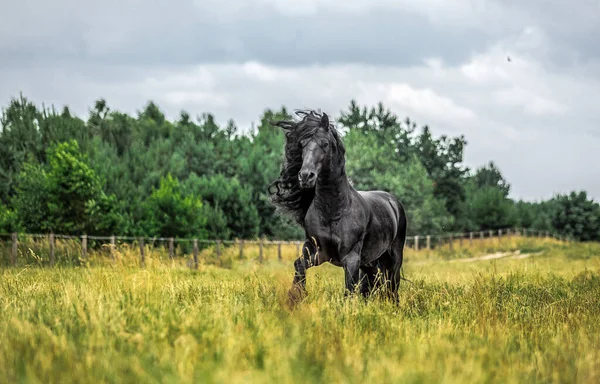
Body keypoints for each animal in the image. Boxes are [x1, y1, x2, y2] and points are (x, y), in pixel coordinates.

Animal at [270, 109, 410, 298]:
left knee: (392, 288)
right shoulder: (316, 250)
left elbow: (349, 290)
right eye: (302, 144)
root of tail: (393, 202)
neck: (334, 210)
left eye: (325, 143)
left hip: (393, 258)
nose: (306, 176)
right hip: (370, 262)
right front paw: (296, 297)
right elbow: (299, 266)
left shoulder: (350, 259)